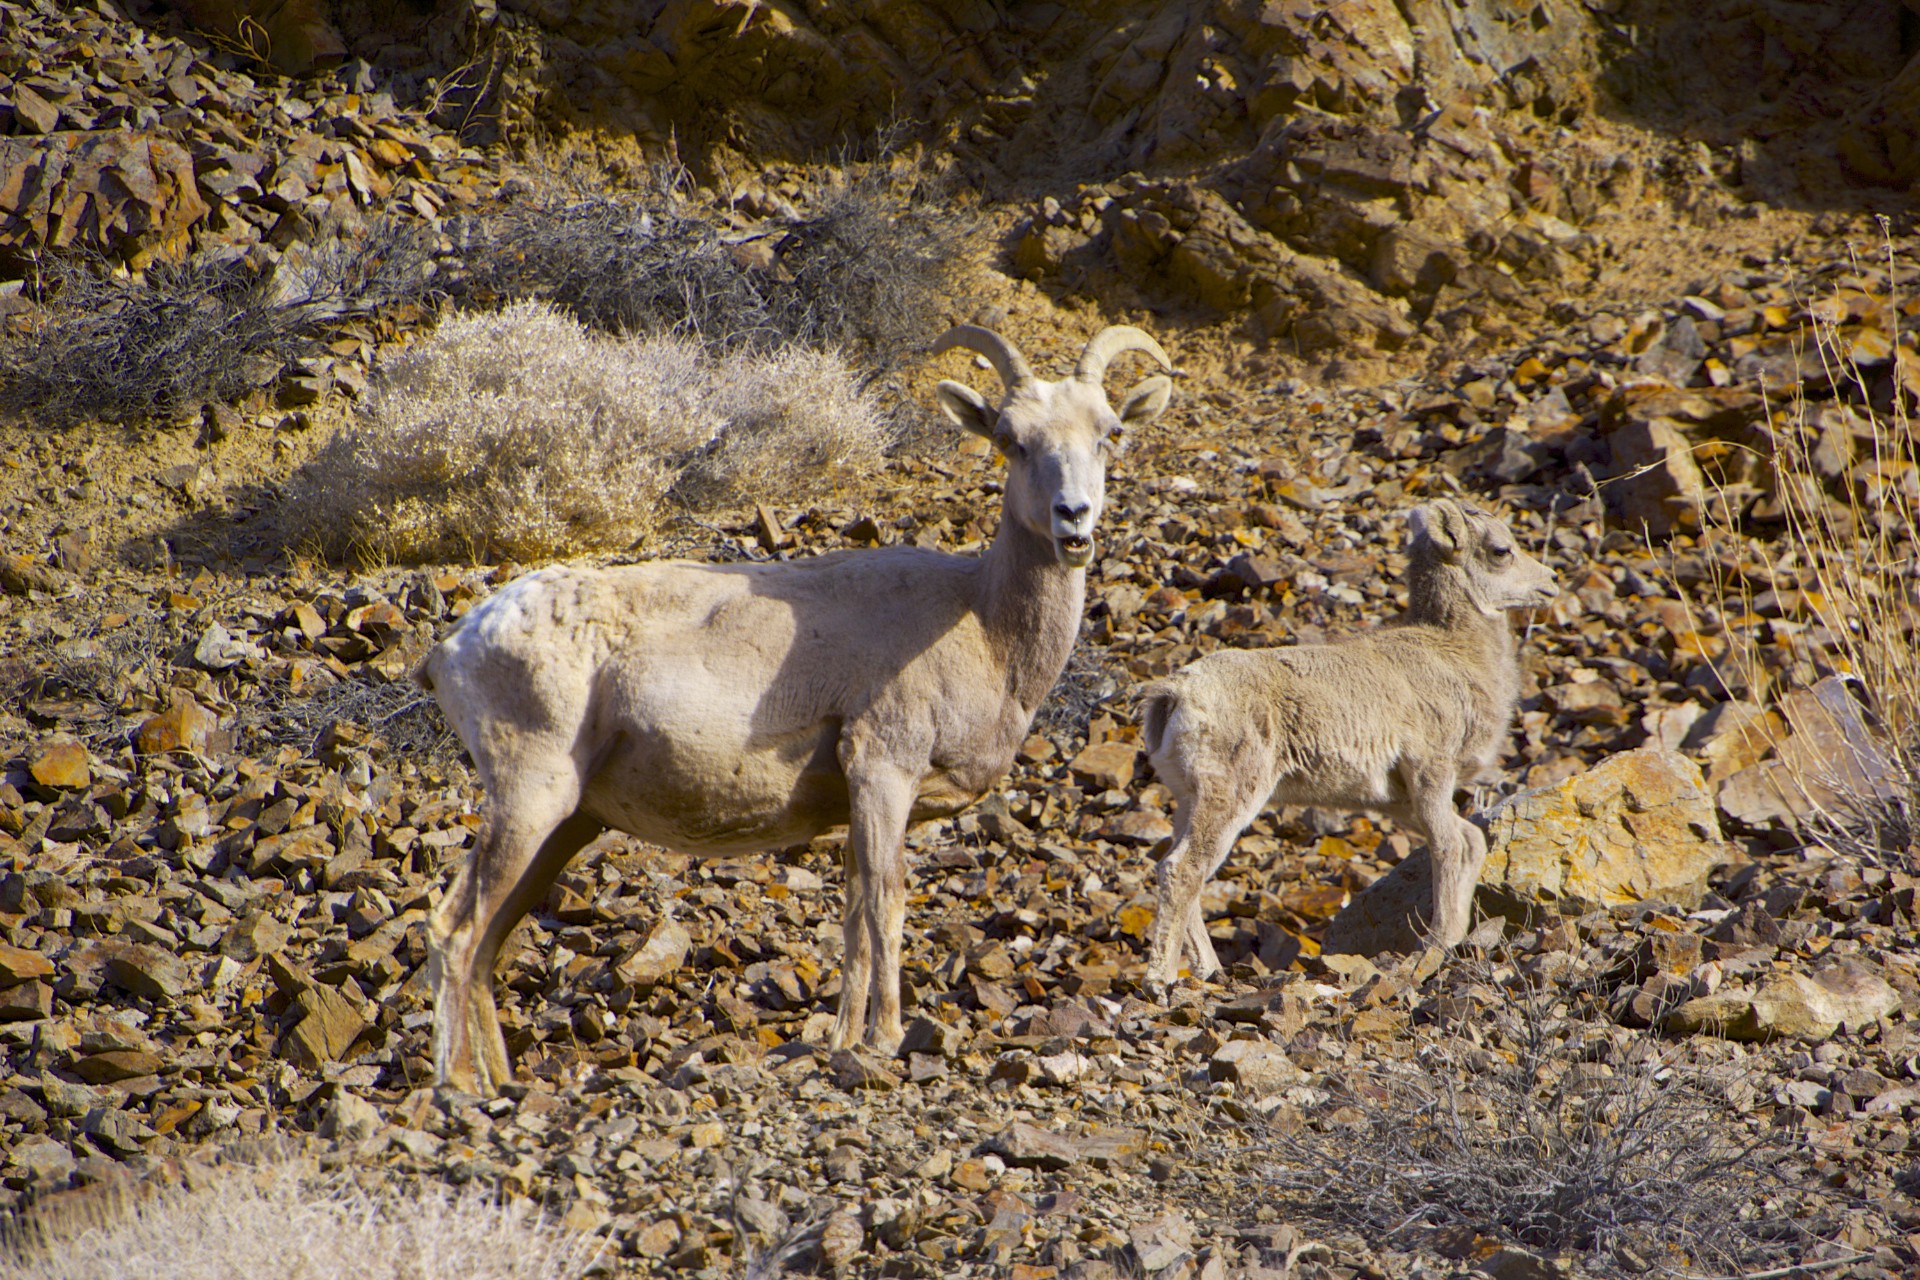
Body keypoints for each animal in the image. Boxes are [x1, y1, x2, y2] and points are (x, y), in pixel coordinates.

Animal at [416, 320, 1167, 1090]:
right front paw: (886, 1039)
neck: (981, 626)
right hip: (529, 800)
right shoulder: (882, 774)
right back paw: (461, 1087)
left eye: (1109, 433)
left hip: (566, 825)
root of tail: (454, 648)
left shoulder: (859, 805)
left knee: (488, 941)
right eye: (1012, 440)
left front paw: (844, 1042)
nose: (1073, 518)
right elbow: (886, 904)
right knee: (455, 930)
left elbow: (854, 916)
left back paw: (504, 1083)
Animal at [1136, 495, 1559, 997]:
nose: (1551, 582)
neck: (1454, 653)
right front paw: (1433, 949)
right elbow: (1449, 846)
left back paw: (1209, 972)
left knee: (1183, 870)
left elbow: (1470, 841)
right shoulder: (1431, 773)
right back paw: (1160, 981)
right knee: (1182, 870)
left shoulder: (1399, 800)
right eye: (1500, 550)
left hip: (1189, 800)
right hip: (1229, 797)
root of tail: (1174, 692)